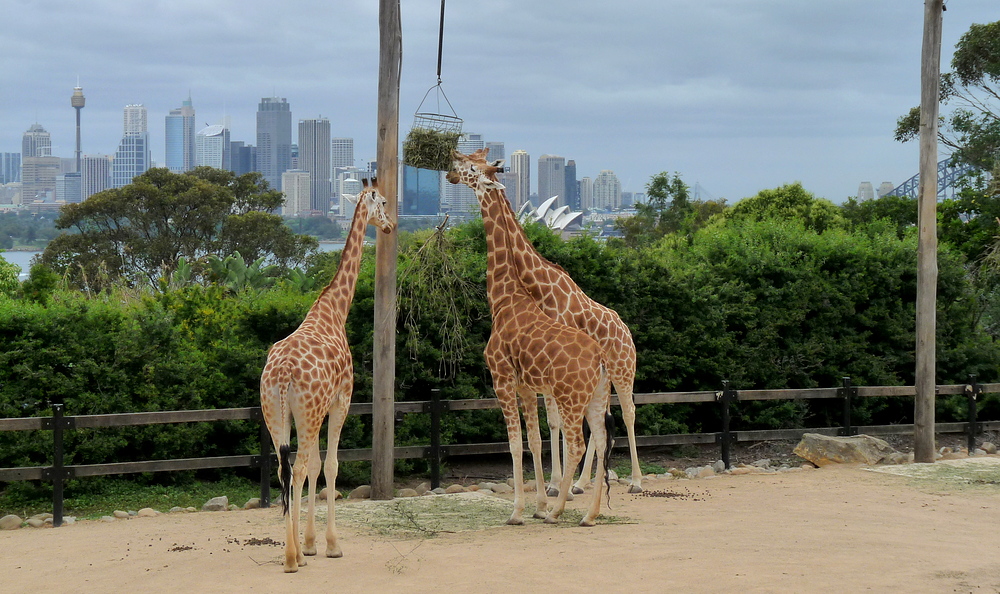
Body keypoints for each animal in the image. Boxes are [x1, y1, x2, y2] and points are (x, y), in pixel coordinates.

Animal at [258, 178, 394, 572]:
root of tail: (283, 374)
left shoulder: (312, 413)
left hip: (275, 414)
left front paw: (310, 543)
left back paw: (291, 553)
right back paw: (291, 559)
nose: (391, 225)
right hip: (306, 412)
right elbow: (330, 466)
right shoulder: (339, 401)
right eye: (382, 202)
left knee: (285, 469)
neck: (335, 310)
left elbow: (316, 467)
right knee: (300, 467)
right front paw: (330, 544)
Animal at [450, 150, 644, 492]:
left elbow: (557, 424)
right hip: (603, 380)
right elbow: (554, 424)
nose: (450, 170)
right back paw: (582, 482)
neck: (537, 284)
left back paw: (635, 480)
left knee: (629, 413)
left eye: (472, 165)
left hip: (623, 370)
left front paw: (555, 484)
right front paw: (556, 483)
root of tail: (625, 329)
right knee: (600, 421)